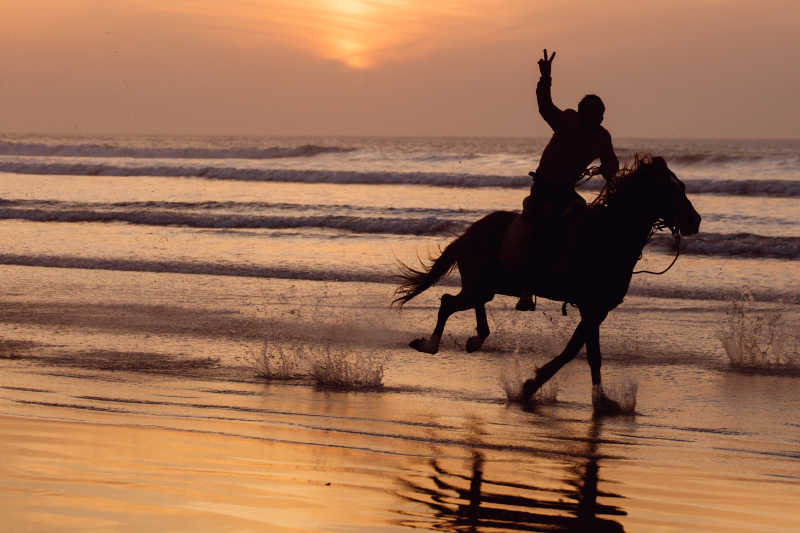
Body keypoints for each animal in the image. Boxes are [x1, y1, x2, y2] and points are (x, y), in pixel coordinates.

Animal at [394, 154, 700, 408]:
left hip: (486, 286)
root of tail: (468, 234)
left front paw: (602, 400)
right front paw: (532, 385)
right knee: (448, 302)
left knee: (470, 304)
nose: (695, 221)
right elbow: (577, 352)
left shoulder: (597, 310)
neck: (607, 235)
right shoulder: (591, 307)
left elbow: (587, 353)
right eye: (670, 190)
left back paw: (477, 338)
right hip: (480, 285)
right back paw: (431, 345)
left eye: (682, 187)